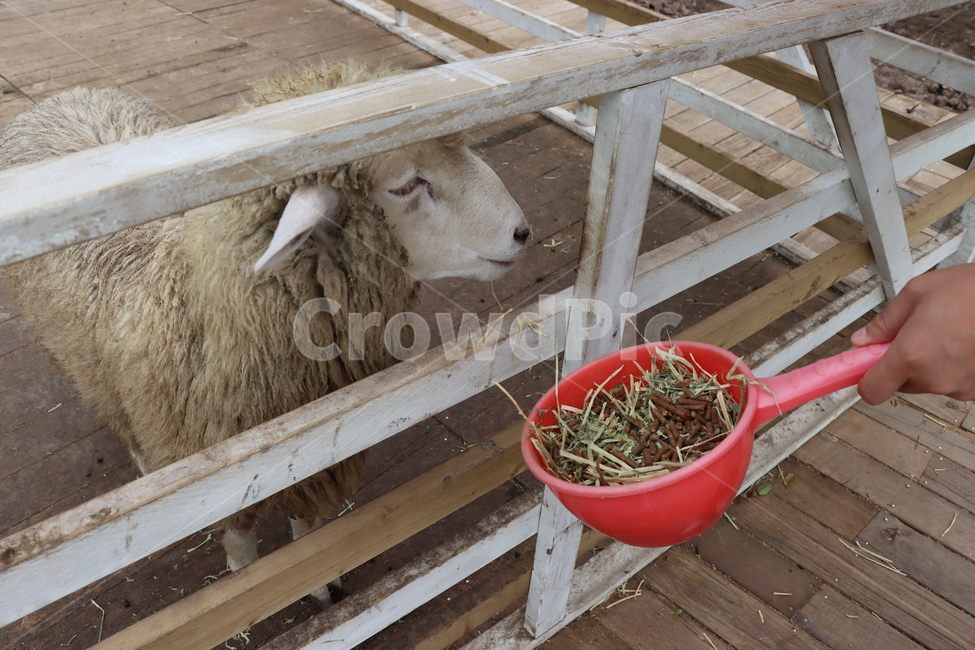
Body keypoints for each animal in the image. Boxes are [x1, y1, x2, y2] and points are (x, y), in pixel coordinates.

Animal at [0, 59, 530, 604]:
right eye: (405, 185)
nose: (522, 232)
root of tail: (60, 98)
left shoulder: (316, 453)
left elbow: (307, 531)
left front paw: (320, 580)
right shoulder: (217, 482)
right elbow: (242, 547)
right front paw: (245, 584)